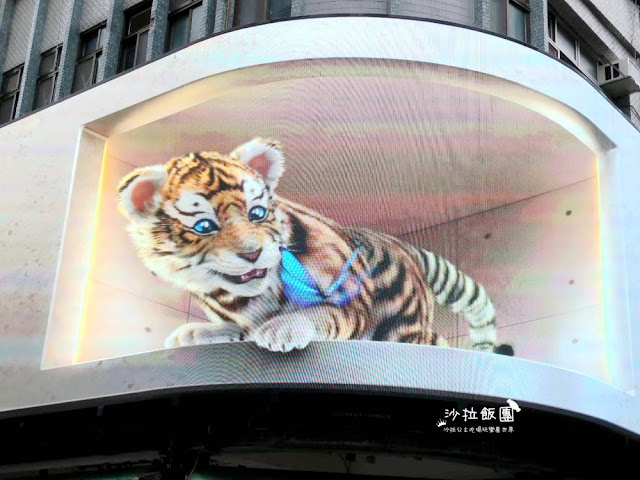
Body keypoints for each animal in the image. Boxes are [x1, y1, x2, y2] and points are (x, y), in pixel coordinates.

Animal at [117, 138, 514, 356]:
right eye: (204, 226)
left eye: (257, 213)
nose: (252, 253)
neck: (244, 297)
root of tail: (401, 243)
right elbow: (234, 327)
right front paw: (195, 334)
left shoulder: (351, 301)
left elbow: (321, 314)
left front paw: (283, 330)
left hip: (401, 323)